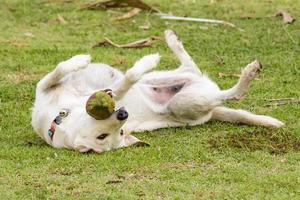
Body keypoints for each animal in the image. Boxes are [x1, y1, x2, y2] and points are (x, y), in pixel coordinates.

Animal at [31, 29, 284, 152]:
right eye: (104, 136)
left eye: (120, 132)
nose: (123, 113)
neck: (59, 119)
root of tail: (213, 111)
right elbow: (124, 83)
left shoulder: (46, 86)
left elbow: (60, 68)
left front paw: (80, 60)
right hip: (183, 103)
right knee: (230, 94)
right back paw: (248, 75)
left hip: (165, 77)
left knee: (190, 66)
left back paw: (169, 43)